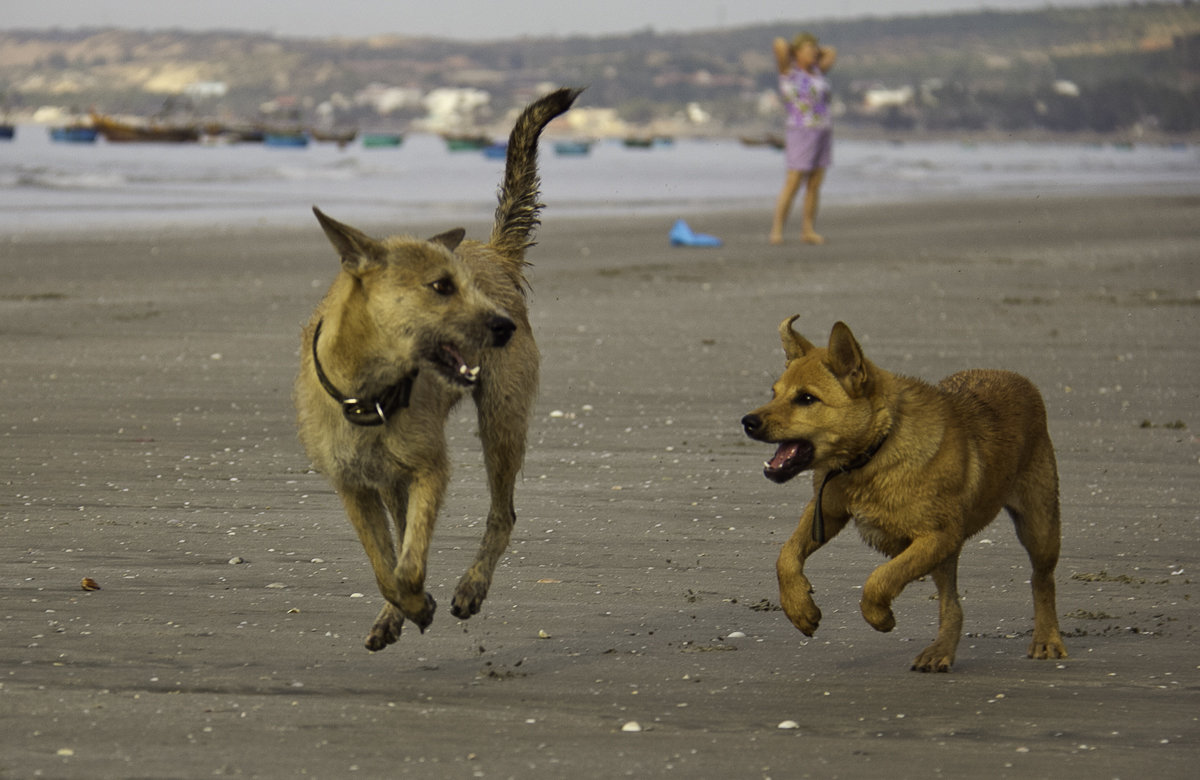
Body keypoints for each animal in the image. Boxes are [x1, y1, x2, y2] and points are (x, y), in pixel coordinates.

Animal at [297, 86, 583, 648]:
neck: (370, 391)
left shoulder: (430, 469)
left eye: (465, 286)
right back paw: (394, 614)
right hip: (393, 477)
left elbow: (407, 564)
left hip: (501, 420)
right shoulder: (354, 487)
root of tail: (493, 252)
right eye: (440, 287)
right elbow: (385, 566)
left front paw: (419, 602)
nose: (503, 328)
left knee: (502, 514)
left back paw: (470, 587)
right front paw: (404, 605)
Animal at [739, 316, 1070, 667]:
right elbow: (786, 556)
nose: (747, 421)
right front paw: (800, 609)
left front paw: (879, 616)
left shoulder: (938, 536)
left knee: (1041, 579)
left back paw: (1047, 638)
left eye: (806, 399)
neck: (874, 452)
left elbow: (881, 578)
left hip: (1039, 524)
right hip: (947, 558)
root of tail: (1017, 377)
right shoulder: (826, 511)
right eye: (774, 393)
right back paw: (941, 651)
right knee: (952, 605)